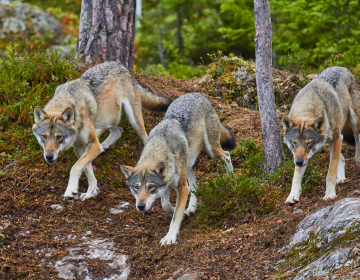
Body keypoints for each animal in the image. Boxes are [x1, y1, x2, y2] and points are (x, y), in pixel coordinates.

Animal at [32, 61, 172, 201]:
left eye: (59, 137)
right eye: (44, 136)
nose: (49, 156)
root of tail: (120, 65)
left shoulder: (92, 145)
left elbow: (75, 167)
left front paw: (70, 190)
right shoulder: (80, 147)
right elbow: (88, 171)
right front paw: (91, 192)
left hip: (133, 119)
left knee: (144, 137)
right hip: (108, 119)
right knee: (118, 130)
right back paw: (104, 146)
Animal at [120, 92, 236, 245]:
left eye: (151, 187)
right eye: (136, 187)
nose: (140, 206)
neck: (160, 146)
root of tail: (198, 94)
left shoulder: (182, 187)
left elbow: (175, 216)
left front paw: (170, 236)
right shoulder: (166, 187)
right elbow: (166, 206)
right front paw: (182, 212)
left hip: (212, 151)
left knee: (227, 155)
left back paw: (232, 180)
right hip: (189, 164)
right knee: (195, 186)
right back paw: (191, 208)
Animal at [282, 66, 360, 205]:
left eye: (309, 143)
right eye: (294, 143)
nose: (298, 162)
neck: (308, 105)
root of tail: (342, 67)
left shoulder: (337, 138)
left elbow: (330, 173)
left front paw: (330, 194)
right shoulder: (301, 156)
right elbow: (296, 176)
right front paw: (293, 195)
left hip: (353, 123)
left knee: (357, 138)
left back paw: (358, 159)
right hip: (331, 141)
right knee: (342, 158)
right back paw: (341, 178)